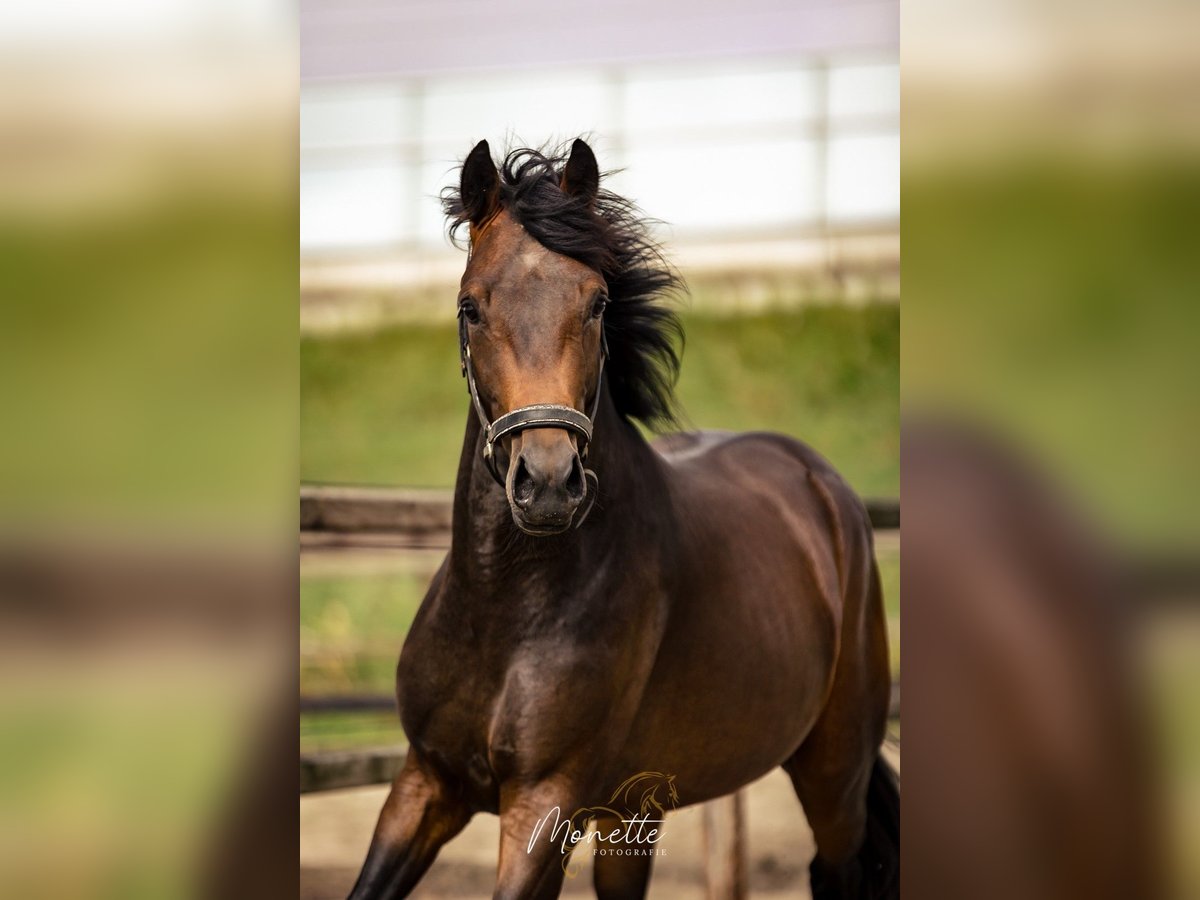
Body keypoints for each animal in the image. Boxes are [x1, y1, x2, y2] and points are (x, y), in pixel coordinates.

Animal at [348, 141, 892, 900]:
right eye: (470, 307)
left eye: (598, 302)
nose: (548, 484)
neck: (503, 611)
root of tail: (821, 483)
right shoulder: (424, 782)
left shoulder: (545, 803)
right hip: (634, 808)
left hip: (833, 774)